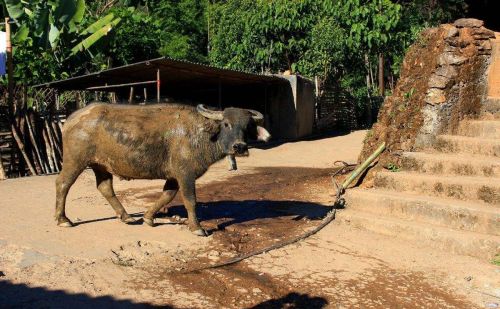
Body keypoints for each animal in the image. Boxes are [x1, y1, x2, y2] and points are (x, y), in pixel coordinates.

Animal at [54, 102, 270, 235]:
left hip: (101, 165)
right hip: (75, 161)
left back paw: (126, 217)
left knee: (105, 187)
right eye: (226, 124)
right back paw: (63, 219)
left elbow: (167, 195)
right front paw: (197, 228)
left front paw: (148, 218)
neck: (201, 135)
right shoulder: (185, 174)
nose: (239, 147)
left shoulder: (174, 176)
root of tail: (71, 119)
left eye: (248, 126)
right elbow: (190, 200)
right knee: (63, 183)